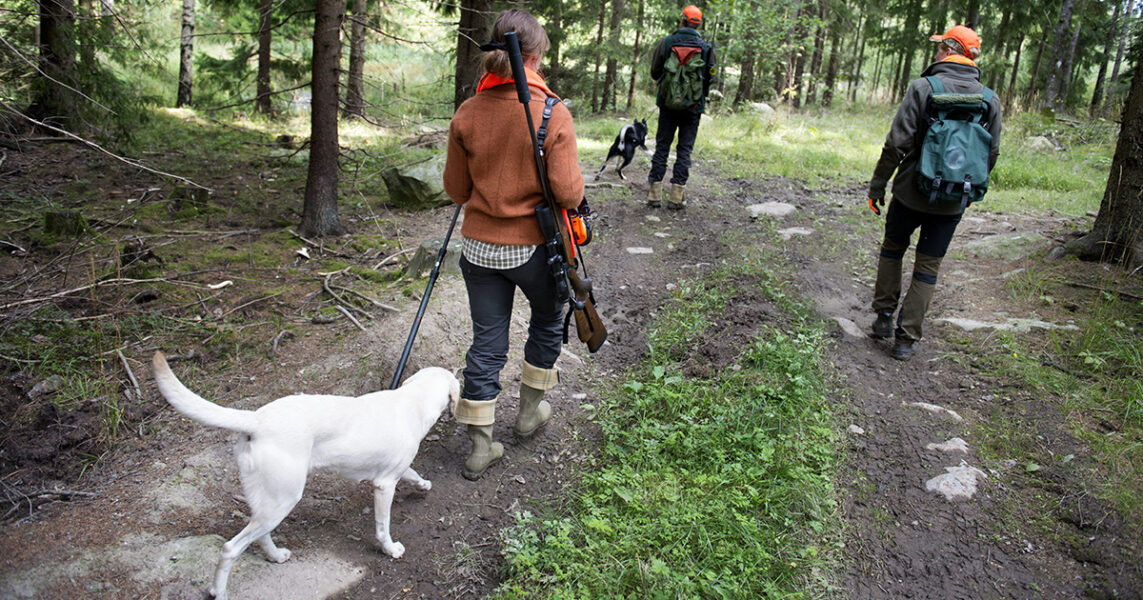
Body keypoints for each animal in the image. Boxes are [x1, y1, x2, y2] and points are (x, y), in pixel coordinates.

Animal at [152, 352, 459, 598]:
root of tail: (257, 418)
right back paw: (219, 591)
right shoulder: (384, 485)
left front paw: (424, 484)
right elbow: (383, 527)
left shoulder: (396, 471)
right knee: (230, 548)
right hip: (283, 499)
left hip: (269, 501)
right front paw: (391, 549)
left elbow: (414, 473)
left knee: (259, 535)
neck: (413, 399)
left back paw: (276, 556)